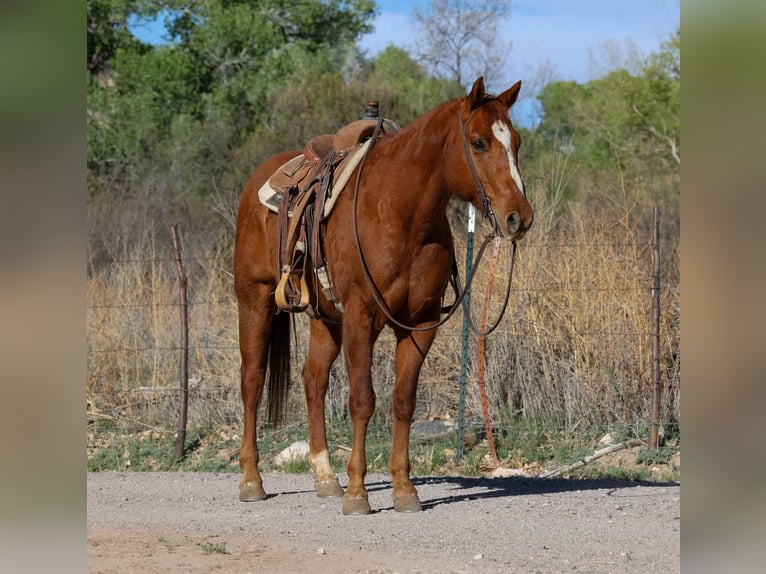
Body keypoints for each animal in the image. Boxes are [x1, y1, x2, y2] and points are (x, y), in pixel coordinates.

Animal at [234, 76, 533, 514]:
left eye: (516, 142)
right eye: (478, 143)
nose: (519, 217)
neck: (400, 213)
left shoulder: (420, 323)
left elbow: (403, 401)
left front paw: (404, 489)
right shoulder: (362, 316)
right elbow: (363, 400)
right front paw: (358, 493)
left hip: (327, 318)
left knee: (313, 379)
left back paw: (325, 477)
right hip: (253, 301)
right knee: (252, 380)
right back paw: (252, 480)